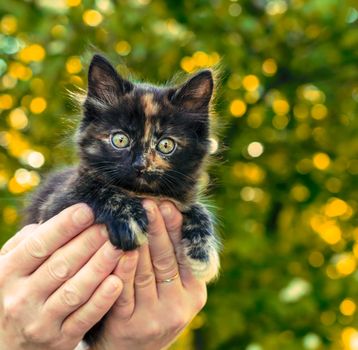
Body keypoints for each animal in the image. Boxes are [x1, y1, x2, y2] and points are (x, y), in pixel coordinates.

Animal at [25, 54, 220, 344]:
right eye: (120, 140)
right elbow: (97, 188)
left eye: (166, 145)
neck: (140, 192)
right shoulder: (54, 206)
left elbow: (198, 209)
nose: (140, 165)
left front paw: (202, 251)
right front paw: (128, 218)